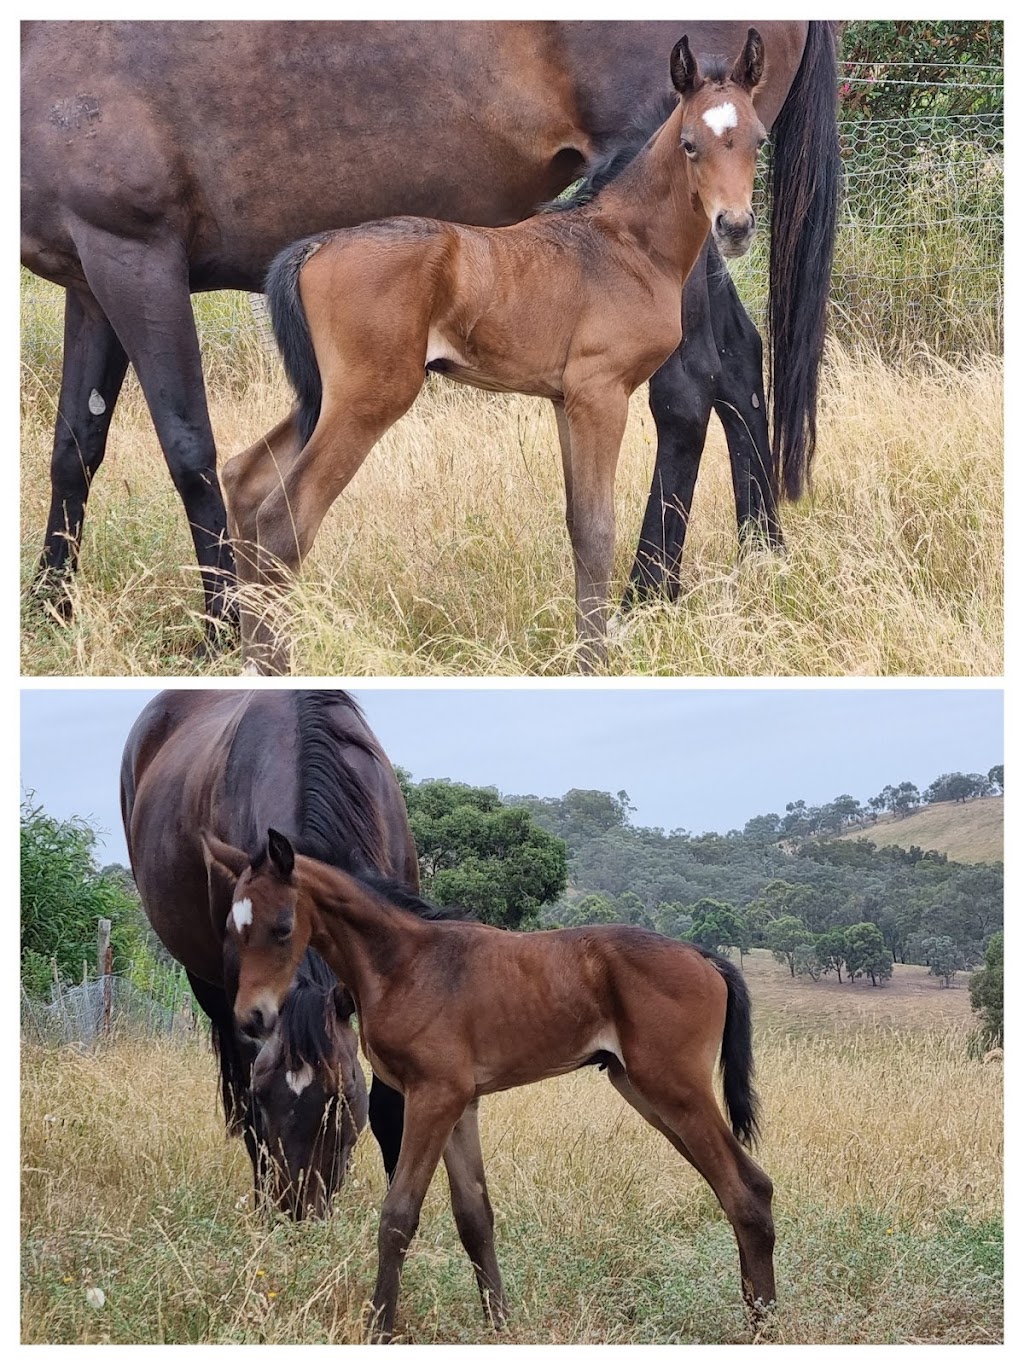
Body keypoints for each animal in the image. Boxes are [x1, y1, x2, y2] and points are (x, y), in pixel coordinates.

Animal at [206, 824, 775, 1337]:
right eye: (232, 929)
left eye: (283, 926)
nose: (253, 1018)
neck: (405, 964)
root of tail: (703, 956)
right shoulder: (462, 1104)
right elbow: (474, 1216)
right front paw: (498, 1322)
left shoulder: (433, 1097)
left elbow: (398, 1215)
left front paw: (379, 1327)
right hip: (641, 1089)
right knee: (744, 1185)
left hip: (675, 1089)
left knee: (746, 1190)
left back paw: (764, 1323)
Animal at [226, 32, 770, 671]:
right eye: (689, 145)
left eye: (759, 140)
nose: (735, 226)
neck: (627, 244)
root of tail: (314, 247)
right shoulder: (600, 393)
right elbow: (598, 530)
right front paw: (592, 662)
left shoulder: (564, 401)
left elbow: (578, 525)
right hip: (369, 396)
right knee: (283, 521)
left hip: (322, 396)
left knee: (244, 480)